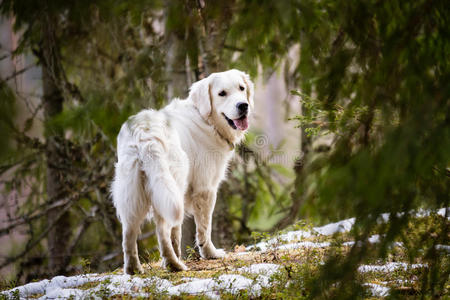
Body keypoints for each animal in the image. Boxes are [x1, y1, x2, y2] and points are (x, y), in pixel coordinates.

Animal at [111, 69, 253, 274]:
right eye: (222, 93)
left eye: (241, 88)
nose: (243, 105)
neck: (206, 119)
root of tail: (144, 134)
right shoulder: (205, 189)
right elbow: (204, 227)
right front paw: (210, 253)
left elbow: (176, 232)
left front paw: (177, 254)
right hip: (169, 184)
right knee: (161, 230)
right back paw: (174, 264)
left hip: (136, 193)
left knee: (129, 234)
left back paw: (134, 269)